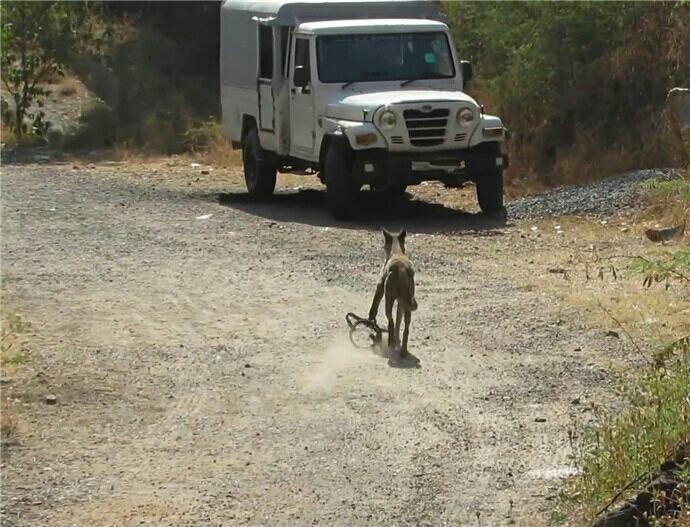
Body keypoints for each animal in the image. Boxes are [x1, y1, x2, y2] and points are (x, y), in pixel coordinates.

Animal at [368, 228, 416, 358]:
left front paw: (370, 320)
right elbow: (398, 321)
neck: (396, 251)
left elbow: (374, 307)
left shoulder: (380, 287)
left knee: (390, 321)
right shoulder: (401, 302)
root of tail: (401, 269)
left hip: (388, 300)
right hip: (407, 306)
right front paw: (397, 338)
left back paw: (391, 343)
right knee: (405, 328)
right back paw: (403, 350)